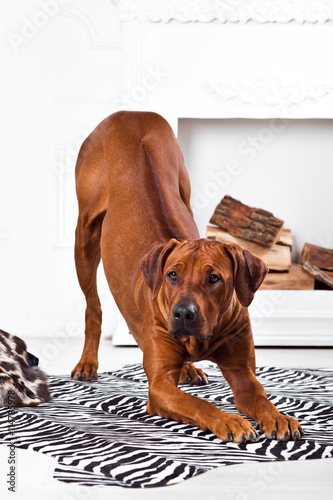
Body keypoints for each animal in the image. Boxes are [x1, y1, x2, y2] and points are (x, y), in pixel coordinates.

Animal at [71, 111, 302, 444]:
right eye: (172, 275)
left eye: (215, 278)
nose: (183, 314)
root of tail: (130, 113)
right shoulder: (159, 386)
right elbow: (196, 404)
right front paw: (229, 421)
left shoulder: (243, 373)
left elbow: (259, 396)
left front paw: (279, 417)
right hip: (85, 232)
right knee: (93, 307)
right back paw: (88, 362)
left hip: (185, 193)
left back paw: (189, 369)